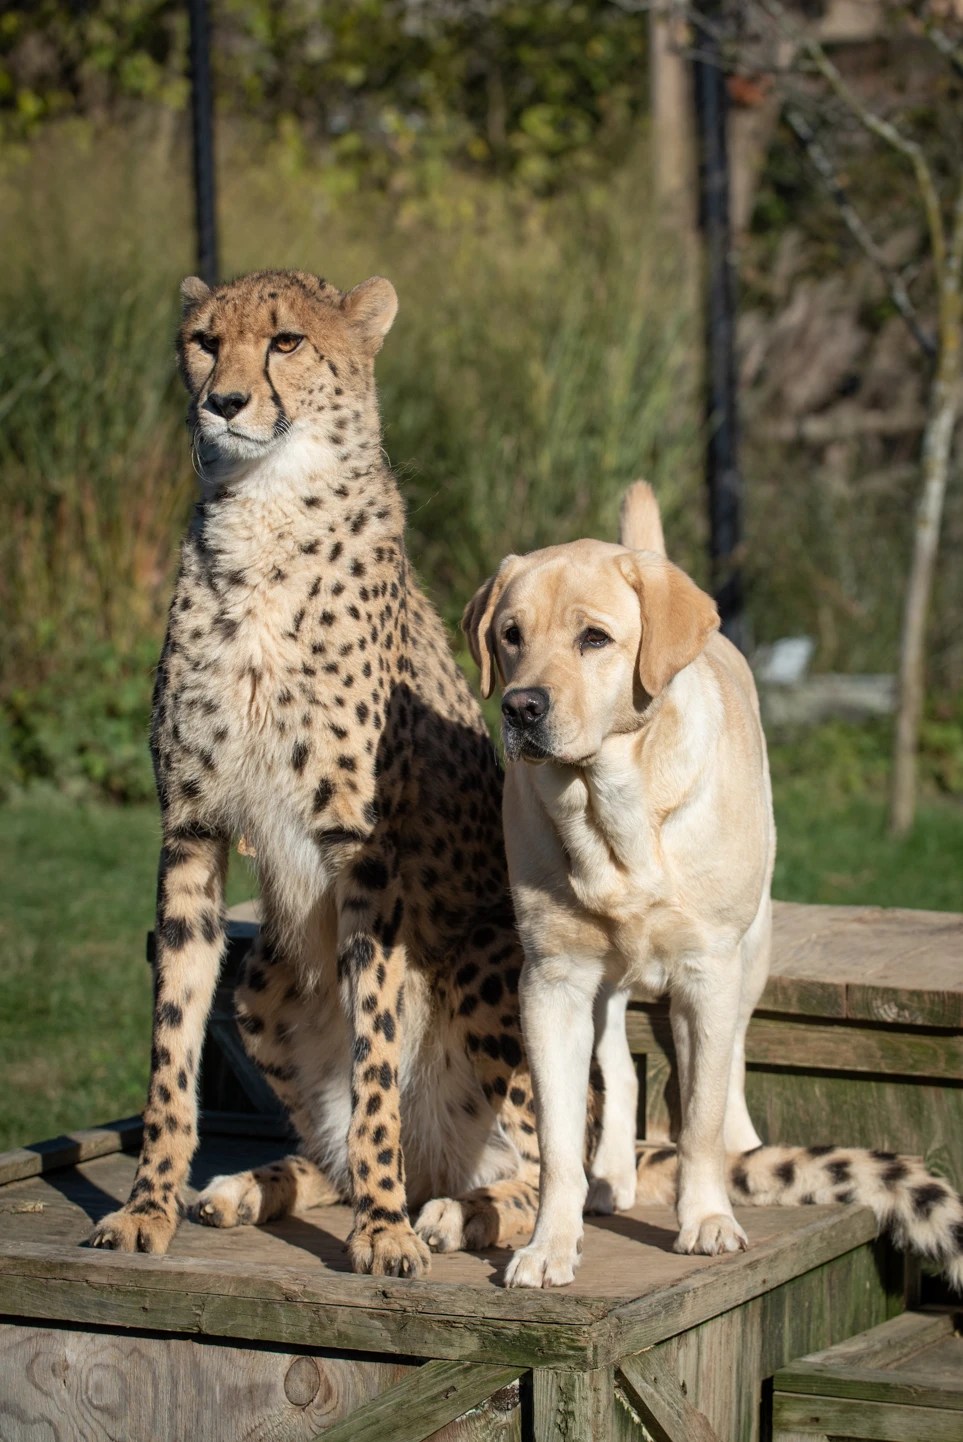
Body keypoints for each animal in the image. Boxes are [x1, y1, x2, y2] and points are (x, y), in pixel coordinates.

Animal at [86, 267, 605, 1277]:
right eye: (205, 342)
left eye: (285, 342)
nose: (223, 403)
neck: (263, 515)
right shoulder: (191, 830)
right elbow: (172, 1051)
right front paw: (147, 1206)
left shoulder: (362, 853)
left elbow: (374, 1065)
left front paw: (386, 1230)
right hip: (262, 978)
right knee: (342, 1143)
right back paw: (252, 1188)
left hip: (494, 963)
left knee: (559, 1172)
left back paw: (460, 1213)